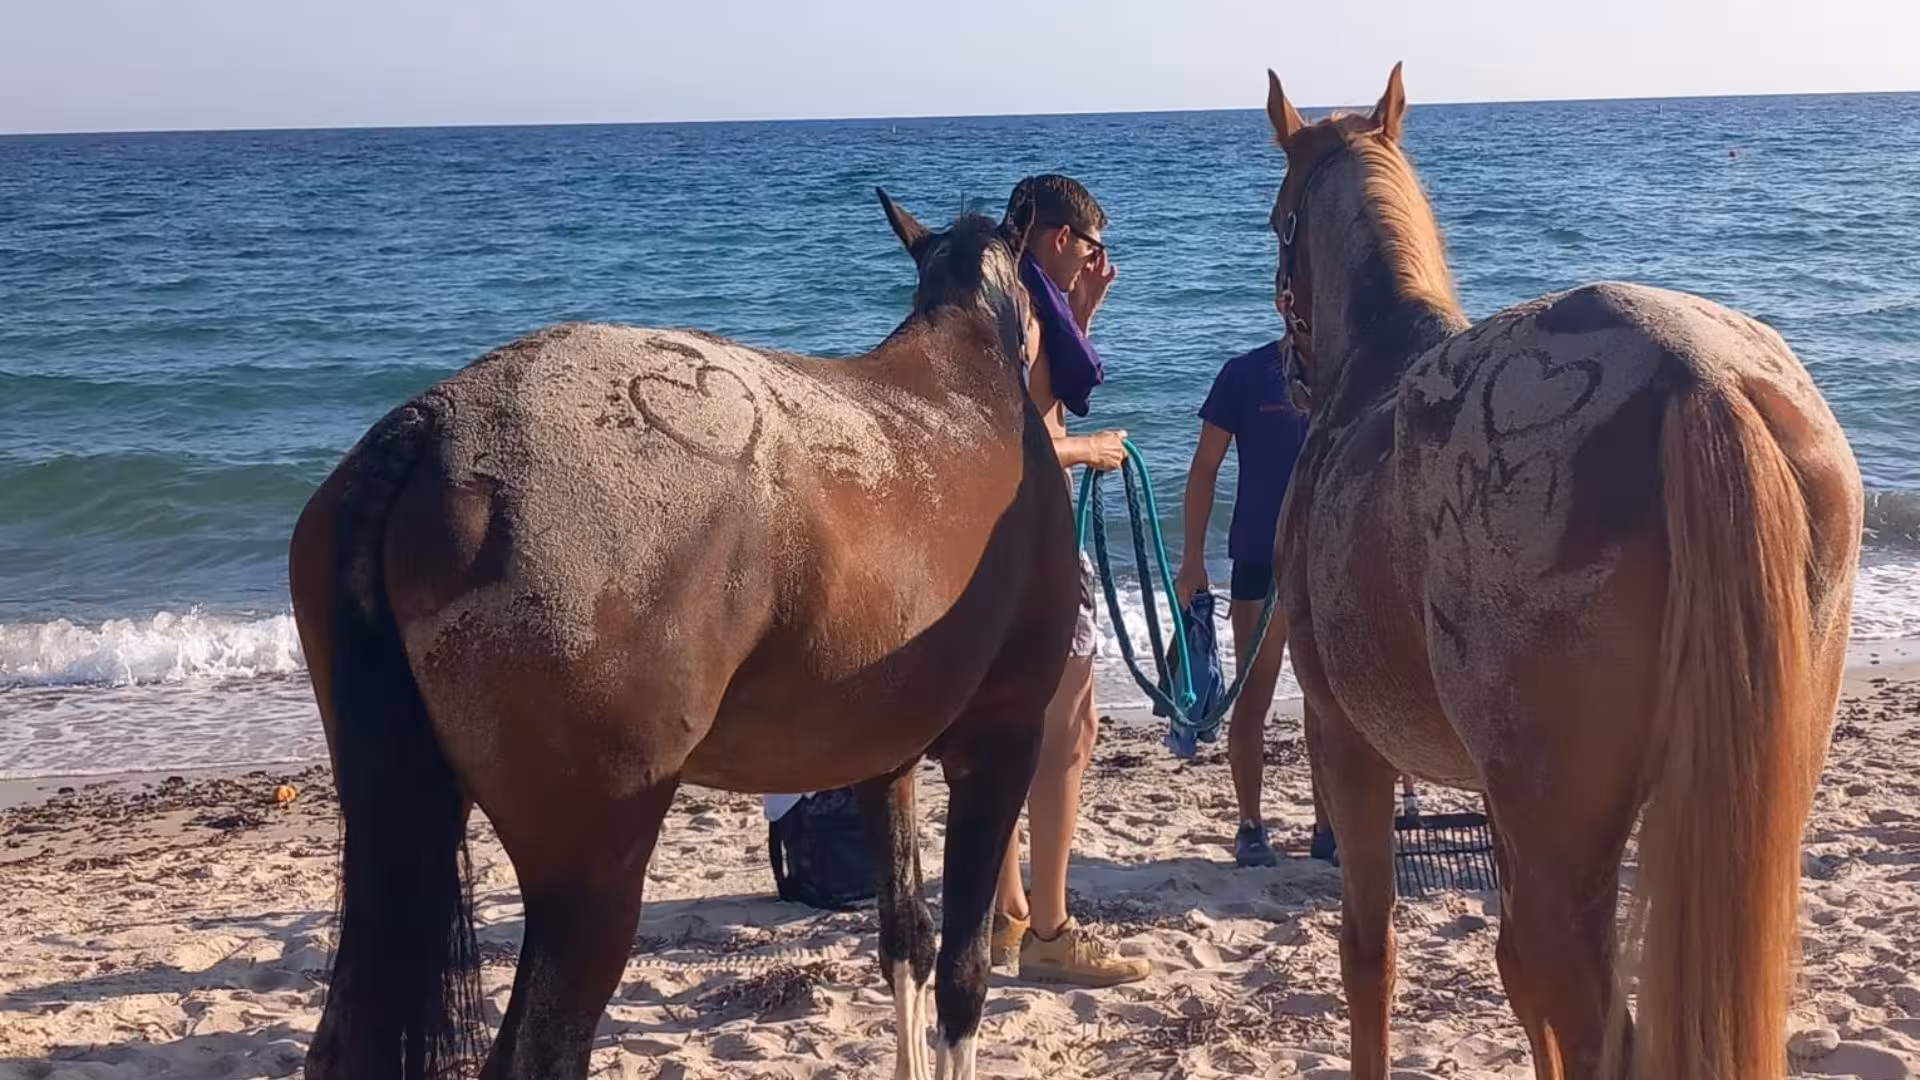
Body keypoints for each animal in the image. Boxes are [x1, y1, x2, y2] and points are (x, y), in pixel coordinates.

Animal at [286, 192, 1077, 1080]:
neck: (971, 389)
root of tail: (432, 428)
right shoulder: (1003, 741)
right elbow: (962, 975)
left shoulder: (886, 763)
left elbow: (904, 939)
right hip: (591, 880)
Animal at [1262, 64, 1863, 1080]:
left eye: (1277, 220)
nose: (1290, 377)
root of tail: (1701, 378)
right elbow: (1513, 977)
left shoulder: (1343, 739)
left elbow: (1369, 952)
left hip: (1561, 838)